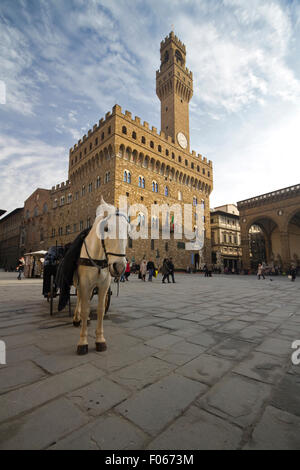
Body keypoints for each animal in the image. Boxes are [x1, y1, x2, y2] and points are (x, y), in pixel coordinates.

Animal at [74, 199, 129, 356]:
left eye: (127, 230)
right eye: (106, 228)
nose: (119, 266)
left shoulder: (104, 285)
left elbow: (100, 310)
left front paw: (100, 340)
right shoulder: (84, 284)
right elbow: (85, 309)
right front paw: (83, 342)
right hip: (78, 282)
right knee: (79, 299)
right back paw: (76, 318)